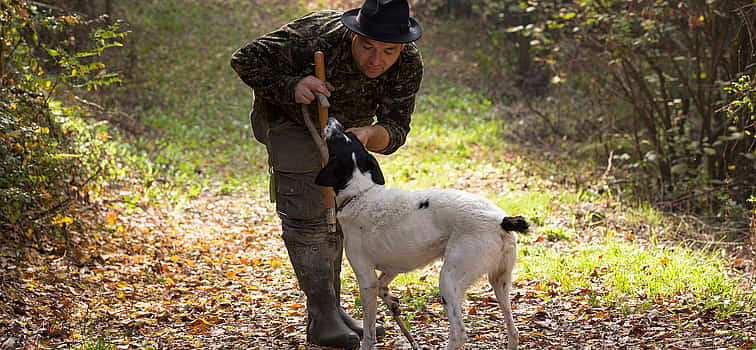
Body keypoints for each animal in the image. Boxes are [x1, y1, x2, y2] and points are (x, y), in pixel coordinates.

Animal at [316, 118, 528, 350]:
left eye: (338, 138)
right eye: (350, 136)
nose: (331, 120)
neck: (360, 193)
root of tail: (501, 219)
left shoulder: (366, 279)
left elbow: (369, 332)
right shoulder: (393, 267)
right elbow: (383, 287)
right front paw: (392, 303)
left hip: (449, 281)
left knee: (459, 333)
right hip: (500, 283)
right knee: (513, 331)